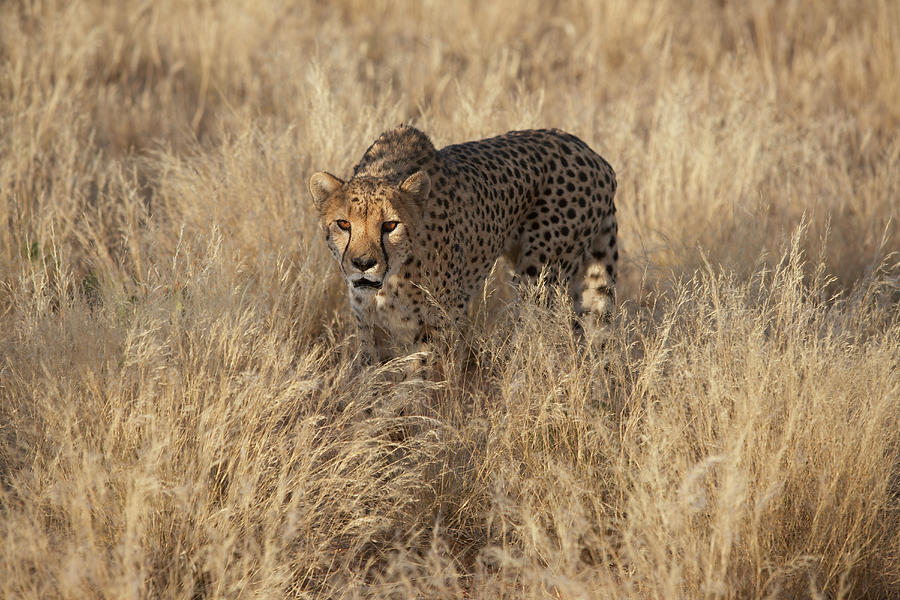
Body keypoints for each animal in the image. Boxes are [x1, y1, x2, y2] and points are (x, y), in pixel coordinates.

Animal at [312, 124, 620, 364]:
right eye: (344, 224)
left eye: (390, 225)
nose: (363, 264)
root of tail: (594, 155)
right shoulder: (368, 324)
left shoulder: (444, 316)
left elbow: (424, 373)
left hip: (540, 279)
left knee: (538, 334)